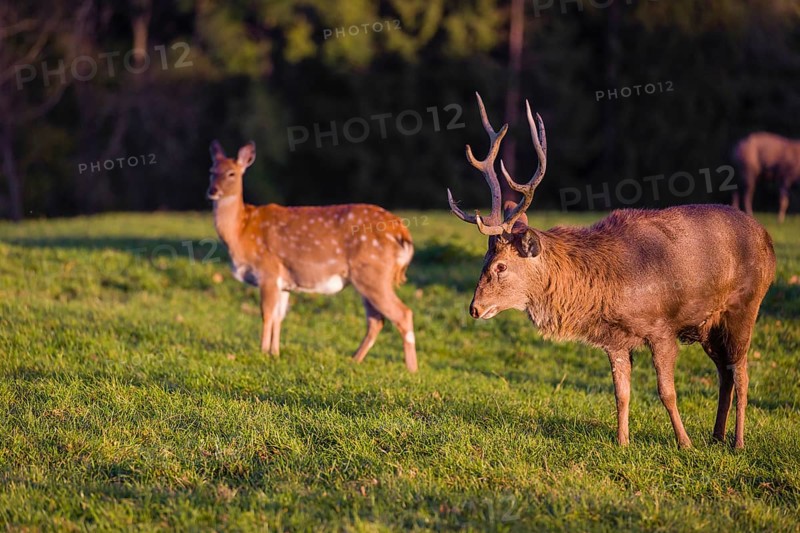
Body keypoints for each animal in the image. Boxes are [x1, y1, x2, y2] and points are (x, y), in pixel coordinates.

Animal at [207, 140, 417, 372]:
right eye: (211, 171)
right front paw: (275, 353)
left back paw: (412, 370)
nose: (212, 191)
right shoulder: (283, 282)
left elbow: (267, 314)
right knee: (376, 320)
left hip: (373, 272)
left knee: (403, 313)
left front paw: (262, 352)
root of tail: (402, 232)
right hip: (369, 277)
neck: (241, 233)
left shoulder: (268, 271)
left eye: (232, 173)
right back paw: (354, 360)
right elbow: (279, 316)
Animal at [447, 93, 775, 448]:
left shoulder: (662, 326)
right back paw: (717, 436)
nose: (474, 308)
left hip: (745, 306)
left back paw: (738, 442)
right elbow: (621, 393)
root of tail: (767, 240)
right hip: (709, 326)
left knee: (741, 373)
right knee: (725, 373)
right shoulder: (615, 340)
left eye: (501, 265)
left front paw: (684, 443)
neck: (605, 289)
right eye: (484, 260)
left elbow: (667, 392)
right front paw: (622, 442)